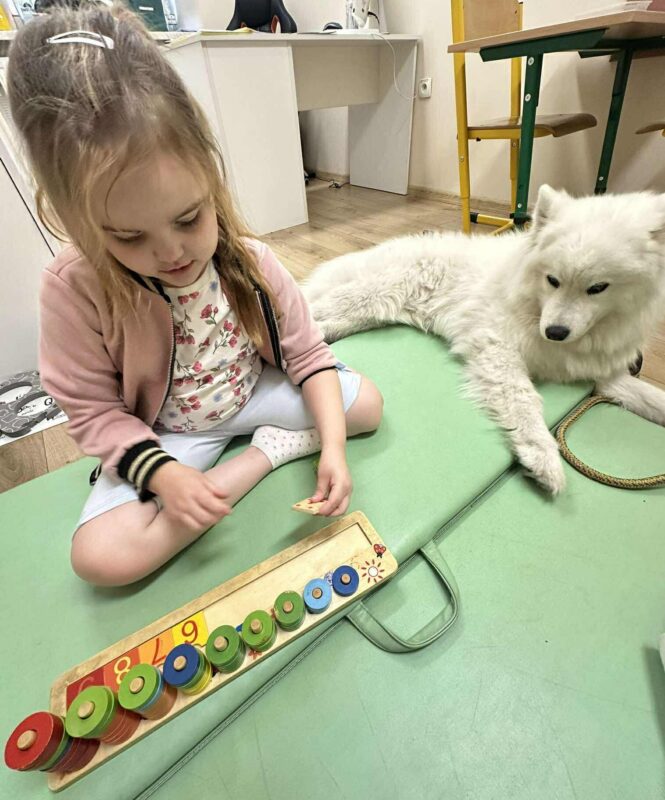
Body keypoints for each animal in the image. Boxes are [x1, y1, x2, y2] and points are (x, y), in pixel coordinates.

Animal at [302, 185, 665, 494]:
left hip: (373, 311)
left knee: (327, 324)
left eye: (598, 288)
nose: (555, 332)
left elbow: (650, 397)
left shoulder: (599, 376)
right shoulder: (497, 346)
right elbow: (523, 398)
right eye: (553, 280)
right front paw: (542, 456)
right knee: (313, 309)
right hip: (372, 294)